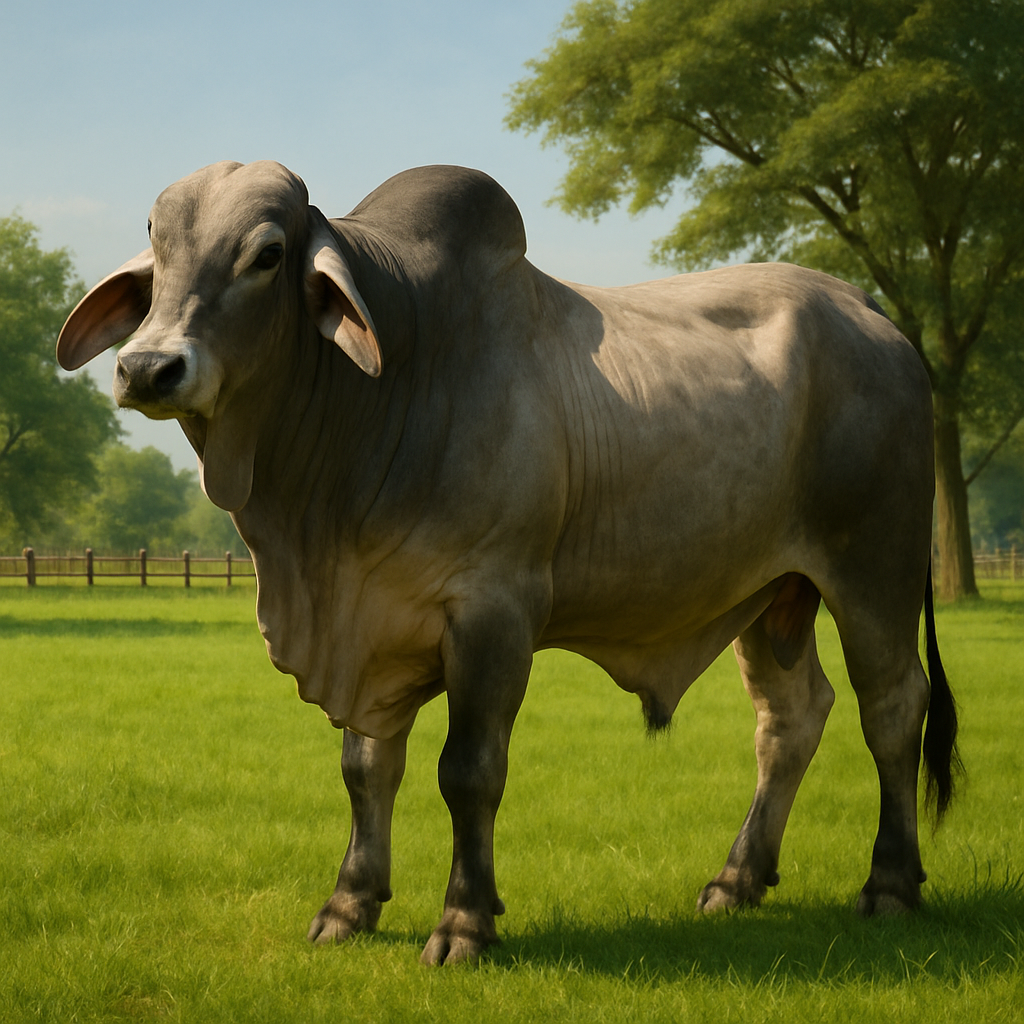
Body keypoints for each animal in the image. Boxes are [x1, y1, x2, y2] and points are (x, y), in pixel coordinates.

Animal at [57, 160, 959, 965]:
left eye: (268, 254)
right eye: (157, 245)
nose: (148, 367)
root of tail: (866, 308)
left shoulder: (492, 615)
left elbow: (468, 772)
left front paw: (465, 921)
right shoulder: (371, 625)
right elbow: (365, 768)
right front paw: (350, 904)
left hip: (872, 568)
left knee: (892, 707)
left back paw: (889, 883)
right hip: (770, 594)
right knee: (791, 717)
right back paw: (737, 879)